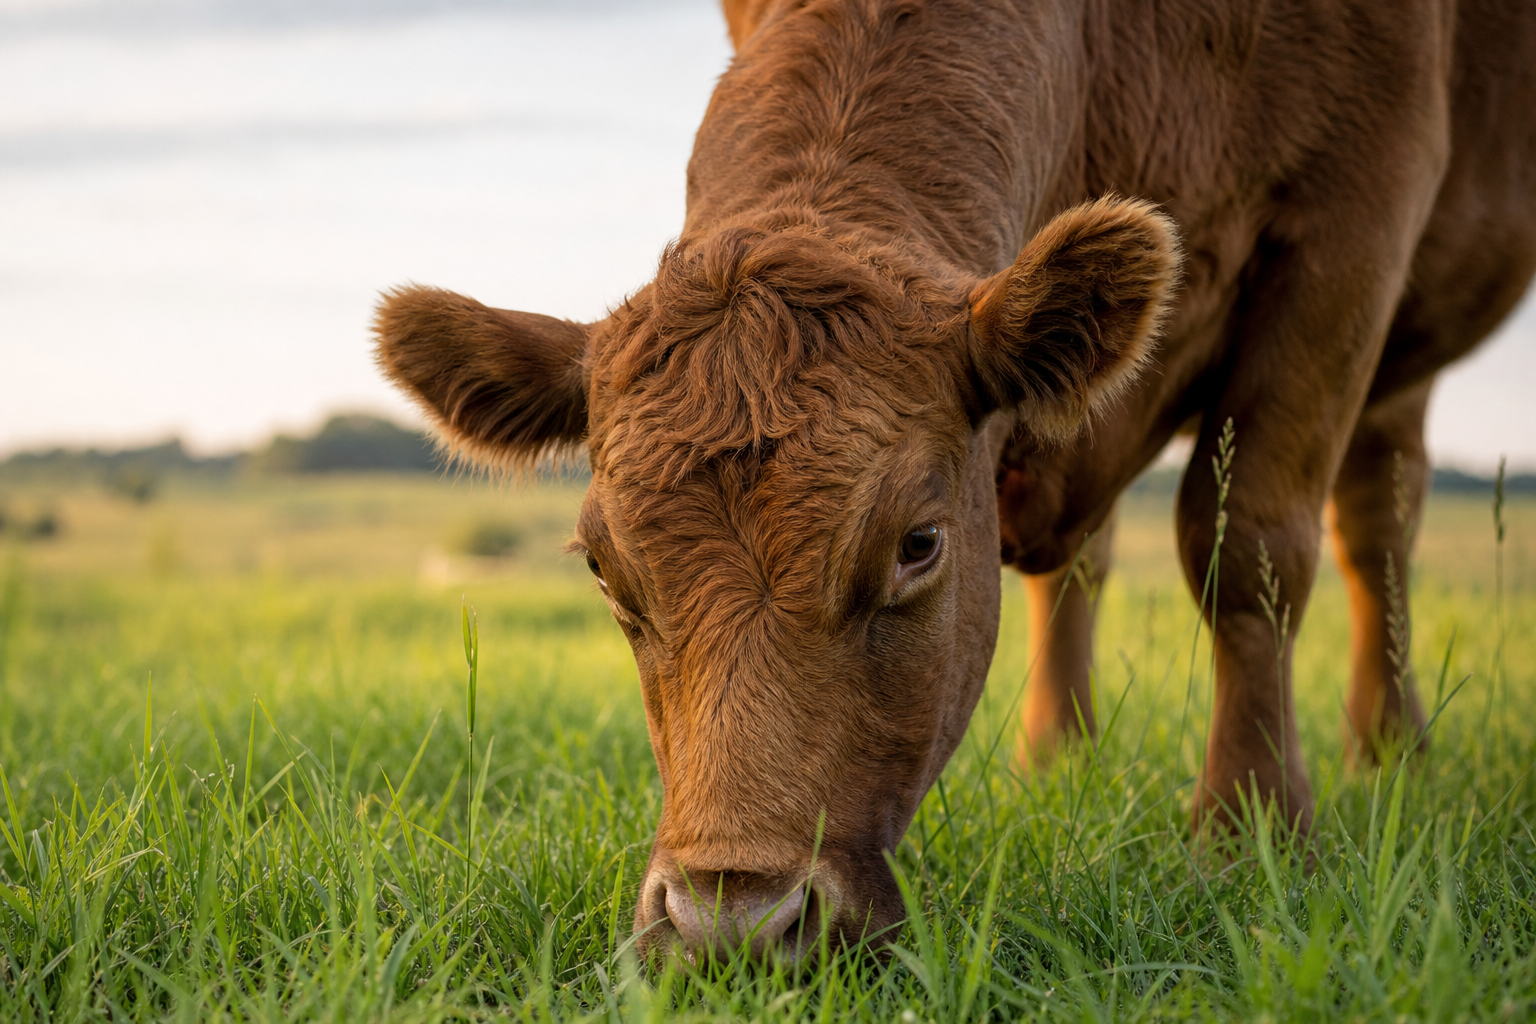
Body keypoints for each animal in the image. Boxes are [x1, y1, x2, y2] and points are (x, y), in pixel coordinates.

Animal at [374, 0, 1536, 962]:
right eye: (605, 570)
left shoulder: (1353, 230)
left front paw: (1250, 833)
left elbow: (1247, 545)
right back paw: (1059, 762)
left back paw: (1389, 754)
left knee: (1373, 518)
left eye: (916, 544)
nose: (731, 924)